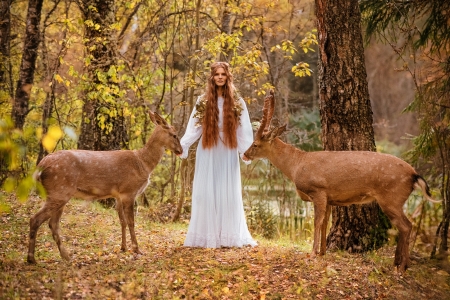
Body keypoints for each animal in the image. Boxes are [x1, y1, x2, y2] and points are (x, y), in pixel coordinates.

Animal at [27, 111, 182, 264]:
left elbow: (122, 221)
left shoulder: (118, 195)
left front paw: (123, 247)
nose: (180, 150)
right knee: (36, 219)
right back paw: (31, 258)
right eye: (174, 134)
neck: (143, 163)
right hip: (59, 191)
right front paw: (137, 249)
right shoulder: (129, 191)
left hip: (59, 194)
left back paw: (66, 256)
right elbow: (131, 222)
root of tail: (40, 167)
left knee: (53, 224)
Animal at [243, 91, 440, 274]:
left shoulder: (318, 190)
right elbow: (325, 223)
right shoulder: (329, 197)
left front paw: (312, 253)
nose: (244, 154)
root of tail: (414, 174)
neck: (296, 166)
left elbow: (317, 222)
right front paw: (322, 252)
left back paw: (402, 267)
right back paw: (399, 263)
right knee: (406, 226)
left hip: (391, 197)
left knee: (406, 226)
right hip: (395, 199)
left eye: (255, 144)